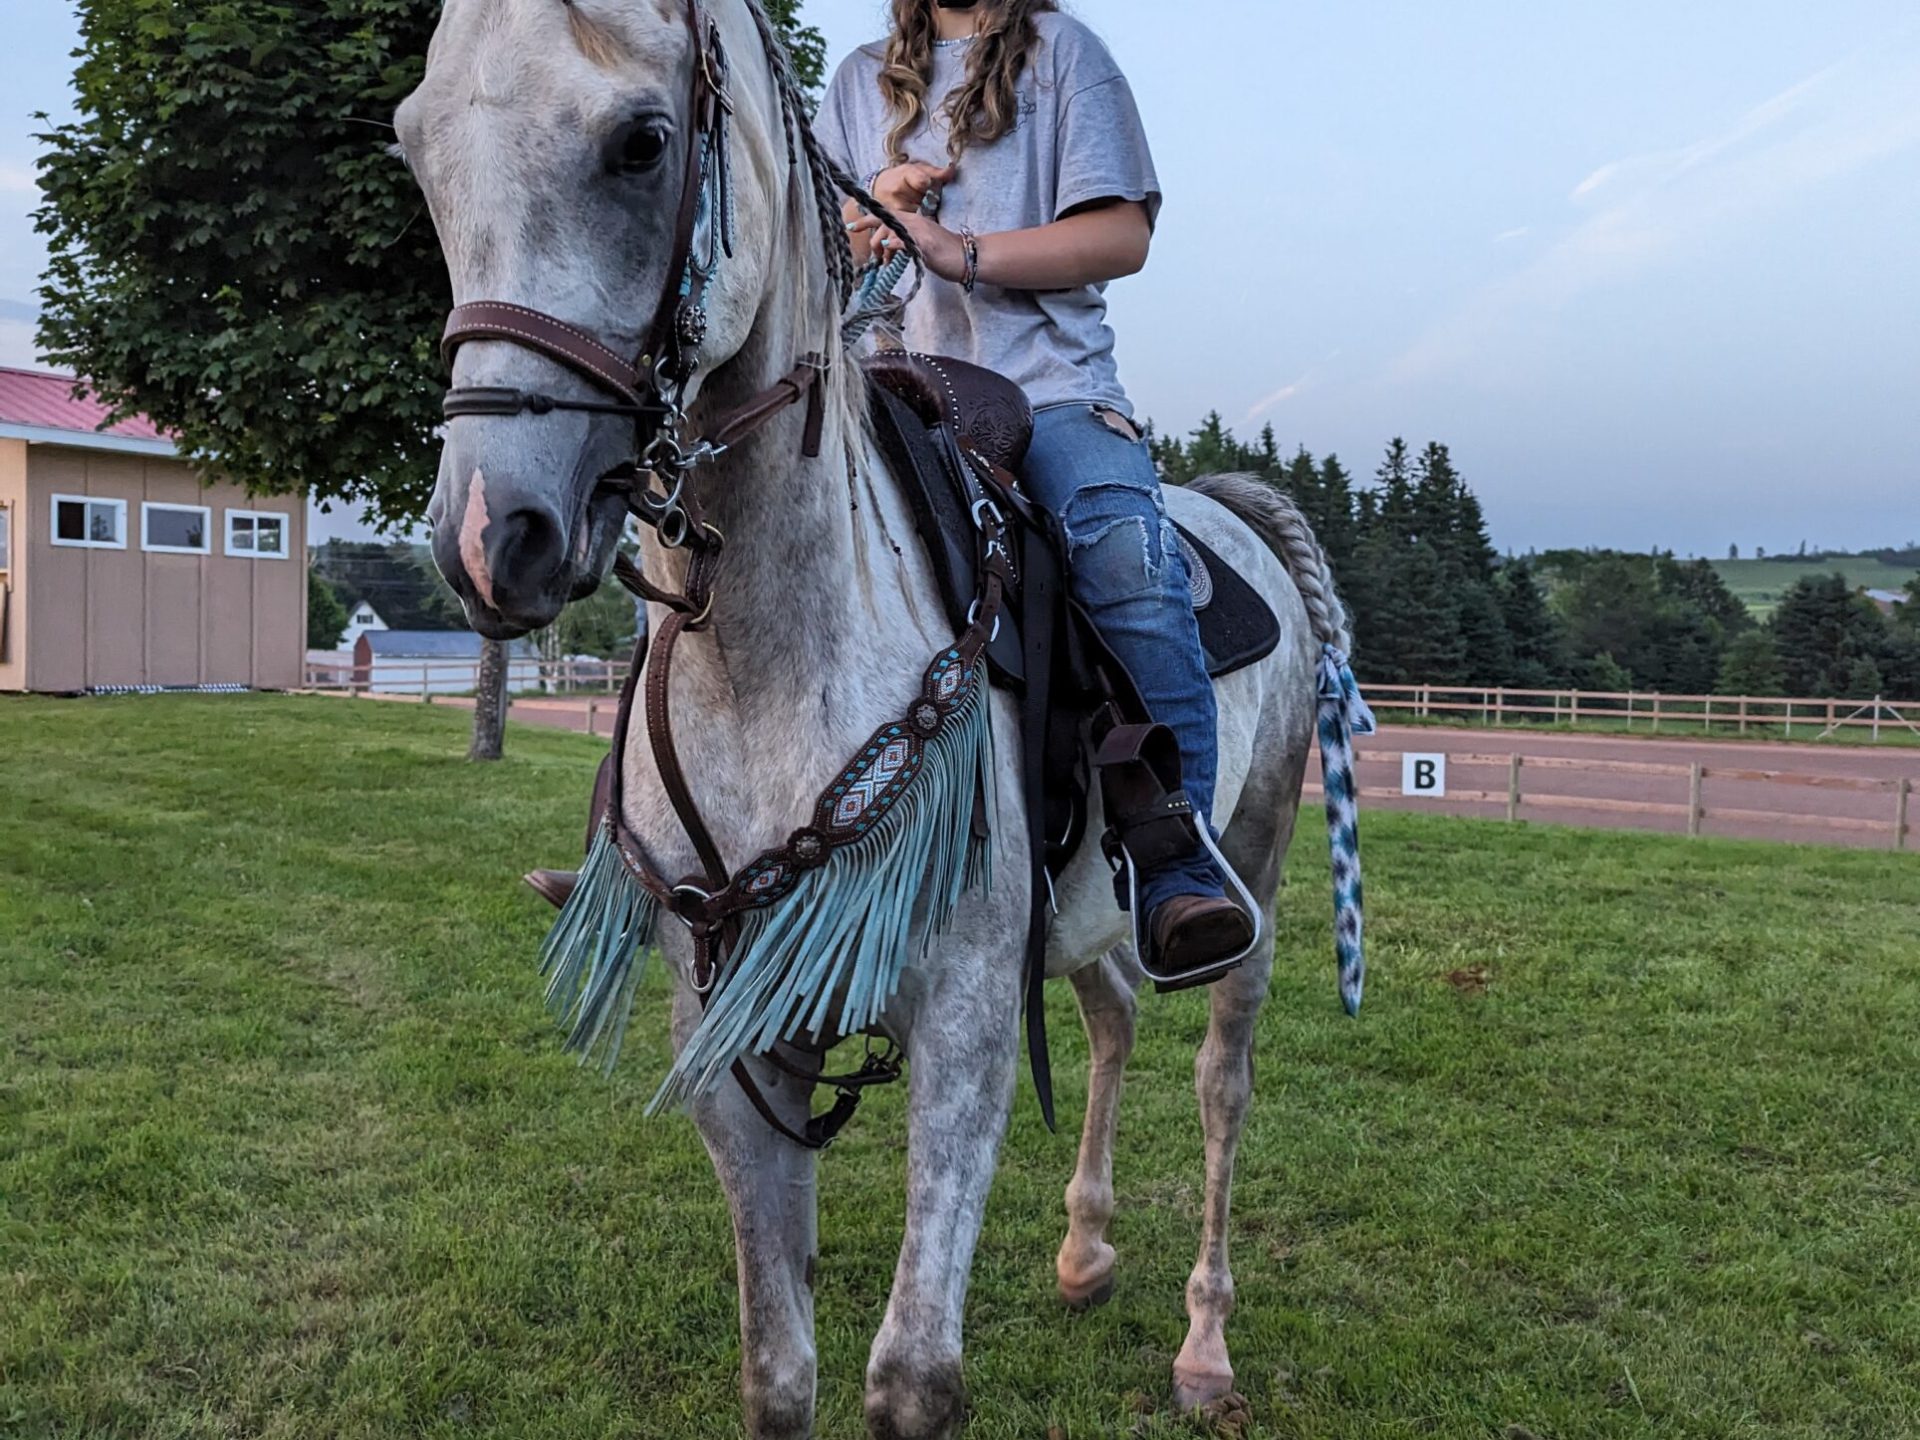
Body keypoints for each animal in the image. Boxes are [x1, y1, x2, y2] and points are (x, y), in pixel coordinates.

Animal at [395, 2, 1358, 1434]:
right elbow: (777, 1373)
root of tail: (1231, 506)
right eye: (415, 148)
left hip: (1257, 870)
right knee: (1115, 1012)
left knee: (1218, 1081)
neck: (774, 661)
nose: (485, 536)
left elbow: (911, 1380)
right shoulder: (735, 1043)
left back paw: (1205, 1346)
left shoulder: (962, 1029)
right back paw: (1084, 1252)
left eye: (643, 142)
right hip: (1083, 917)